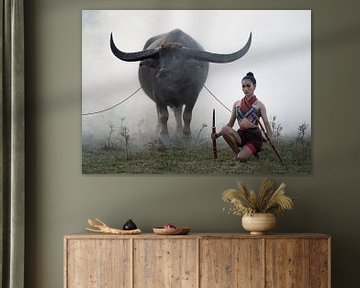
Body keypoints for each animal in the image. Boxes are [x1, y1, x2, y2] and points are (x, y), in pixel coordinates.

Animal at [108, 28, 252, 140]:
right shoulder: (159, 97)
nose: (162, 73)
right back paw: (159, 129)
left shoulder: (193, 95)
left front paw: (186, 135)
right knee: (162, 113)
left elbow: (187, 115)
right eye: (160, 58)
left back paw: (178, 130)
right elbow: (163, 115)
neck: (175, 85)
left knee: (178, 113)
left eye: (179, 59)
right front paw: (163, 135)